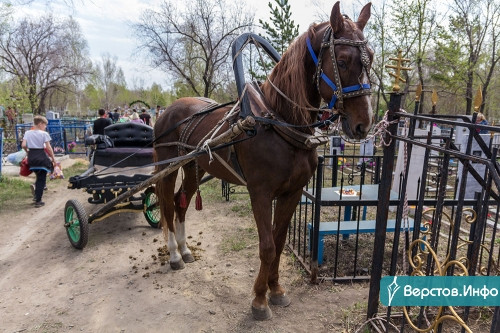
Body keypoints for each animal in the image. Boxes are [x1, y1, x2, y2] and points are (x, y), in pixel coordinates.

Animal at [154, 1, 374, 320]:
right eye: (343, 61)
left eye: (370, 60)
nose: (363, 124)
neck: (279, 121)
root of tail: (168, 110)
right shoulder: (260, 192)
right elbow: (267, 246)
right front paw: (259, 299)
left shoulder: (292, 192)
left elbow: (279, 242)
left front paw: (276, 290)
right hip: (167, 166)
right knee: (168, 207)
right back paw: (173, 254)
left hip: (193, 167)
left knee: (181, 203)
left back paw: (185, 250)